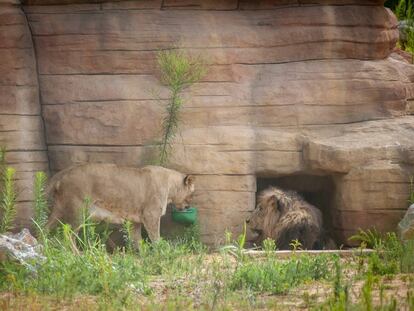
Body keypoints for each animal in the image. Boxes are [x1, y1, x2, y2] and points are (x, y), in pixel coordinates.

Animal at [44, 165, 196, 245]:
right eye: (192, 194)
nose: (188, 207)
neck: (171, 187)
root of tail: (64, 172)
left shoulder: (135, 221)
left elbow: (137, 241)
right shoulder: (151, 215)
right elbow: (155, 237)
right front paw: (161, 252)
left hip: (58, 209)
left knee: (44, 228)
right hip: (78, 212)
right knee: (67, 235)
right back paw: (77, 257)